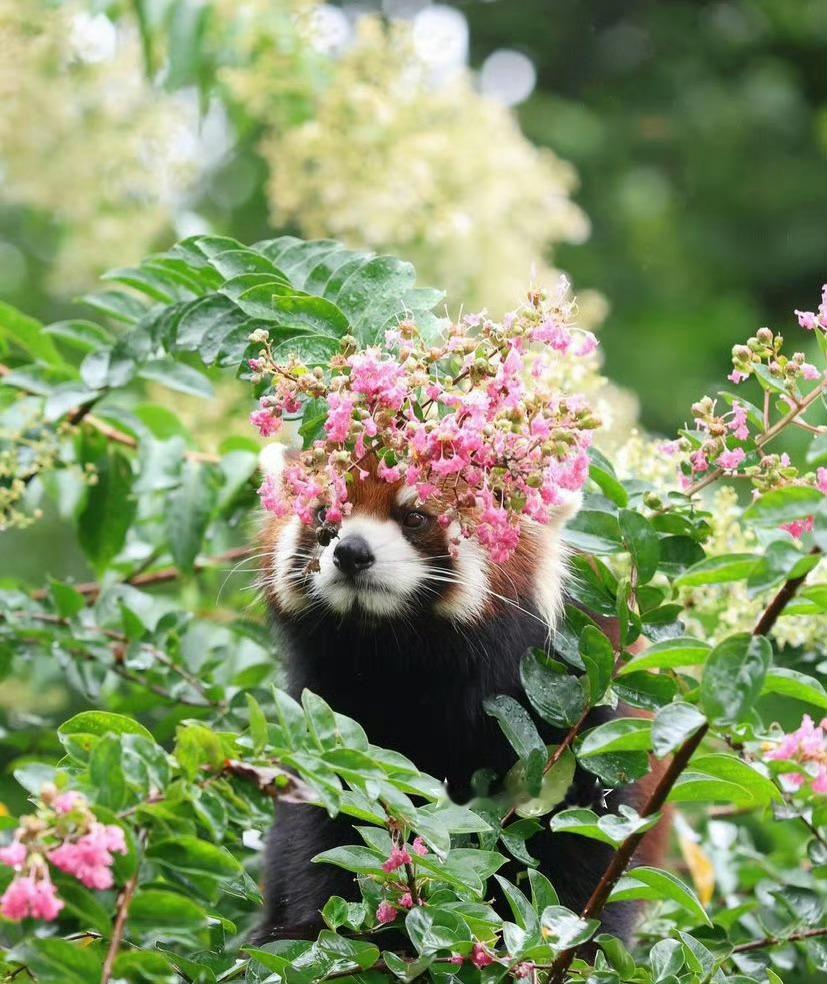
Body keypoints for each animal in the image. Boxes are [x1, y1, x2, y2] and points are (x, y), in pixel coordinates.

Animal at [256, 448, 668, 944]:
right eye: (324, 514)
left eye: (415, 517)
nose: (350, 551)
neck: (398, 662)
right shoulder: (335, 715)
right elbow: (323, 830)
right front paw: (316, 929)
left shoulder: (575, 717)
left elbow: (583, 848)